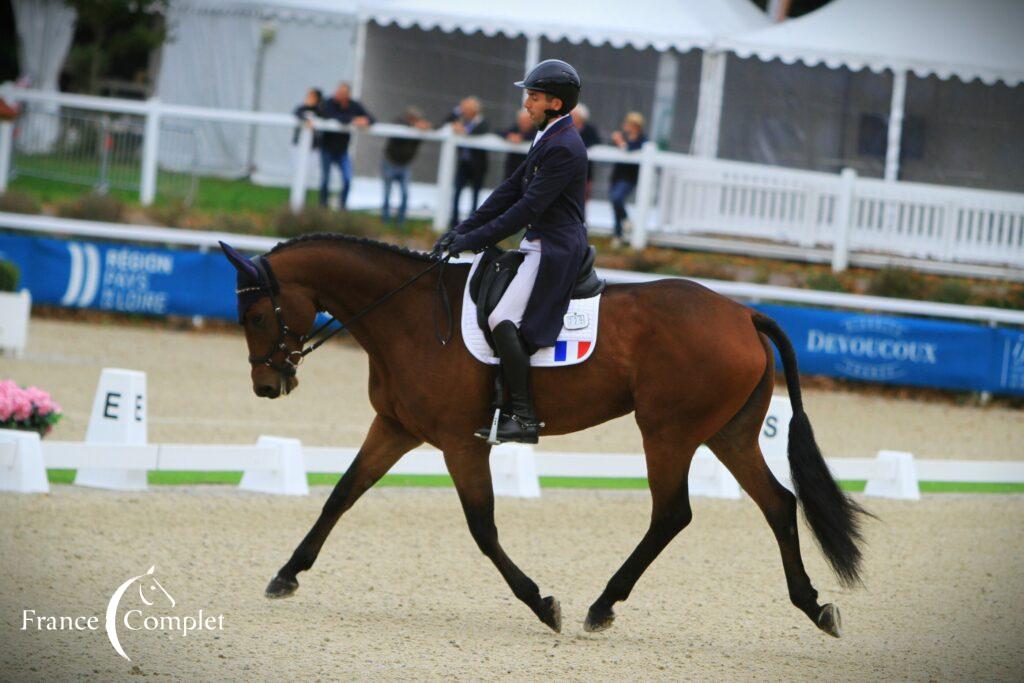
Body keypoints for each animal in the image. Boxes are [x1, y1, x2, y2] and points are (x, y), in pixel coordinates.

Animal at [220, 233, 868, 634]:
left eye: (253, 315)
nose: (266, 386)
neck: (407, 317)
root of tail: (743, 313)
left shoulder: (460, 443)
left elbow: (482, 527)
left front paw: (541, 603)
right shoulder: (397, 427)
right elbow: (342, 494)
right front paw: (286, 575)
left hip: (667, 431)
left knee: (672, 513)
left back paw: (602, 606)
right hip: (728, 433)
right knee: (778, 504)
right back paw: (813, 607)